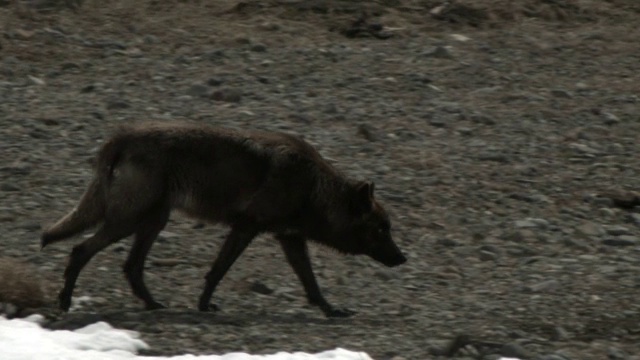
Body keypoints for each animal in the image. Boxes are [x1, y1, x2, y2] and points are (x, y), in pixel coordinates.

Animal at [41, 121, 404, 318]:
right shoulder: (246, 228)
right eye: (381, 229)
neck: (314, 187)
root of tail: (123, 134)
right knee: (81, 251)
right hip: (128, 221)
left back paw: (154, 304)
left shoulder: (289, 239)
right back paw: (65, 302)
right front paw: (204, 305)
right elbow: (218, 271)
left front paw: (331, 311)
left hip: (152, 222)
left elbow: (311, 285)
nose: (403, 258)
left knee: (130, 266)